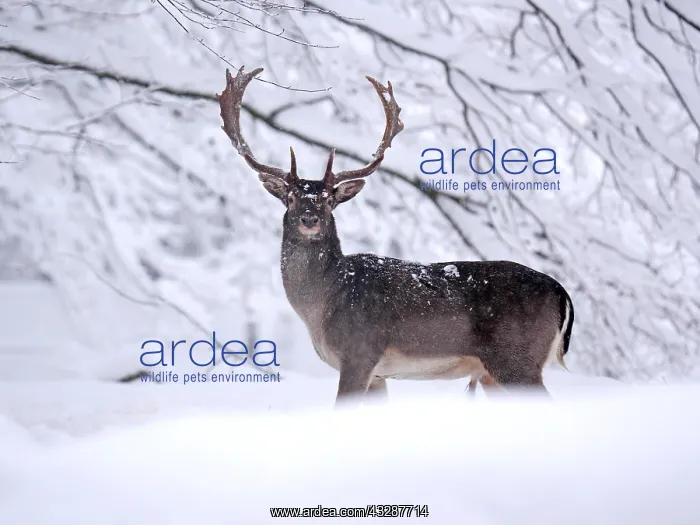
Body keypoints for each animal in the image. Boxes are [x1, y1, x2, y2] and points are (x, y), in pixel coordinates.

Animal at [216, 66, 575, 406]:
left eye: (329, 200)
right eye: (290, 198)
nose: (309, 218)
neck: (321, 305)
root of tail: (562, 294)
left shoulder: (359, 352)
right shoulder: (378, 375)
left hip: (517, 358)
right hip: (492, 373)